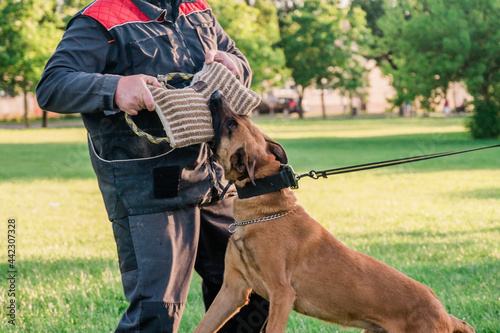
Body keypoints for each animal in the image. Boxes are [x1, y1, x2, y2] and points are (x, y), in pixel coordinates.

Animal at [193, 91, 474, 332]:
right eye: (238, 119)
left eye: (232, 124)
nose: (216, 94)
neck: (264, 212)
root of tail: (445, 315)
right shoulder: (232, 290)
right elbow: (202, 327)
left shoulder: (281, 294)